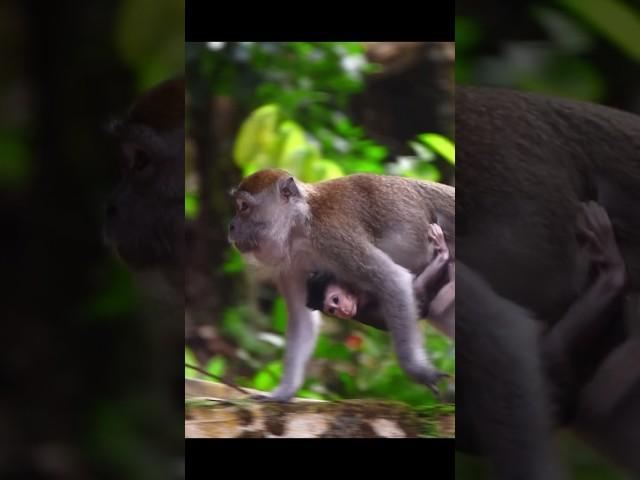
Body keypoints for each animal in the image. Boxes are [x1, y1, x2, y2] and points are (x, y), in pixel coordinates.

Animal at [230, 169, 456, 402]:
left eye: (243, 207)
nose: (231, 226)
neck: (301, 228)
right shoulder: (289, 266)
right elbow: (303, 321)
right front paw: (282, 392)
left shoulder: (335, 239)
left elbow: (393, 280)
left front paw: (417, 370)